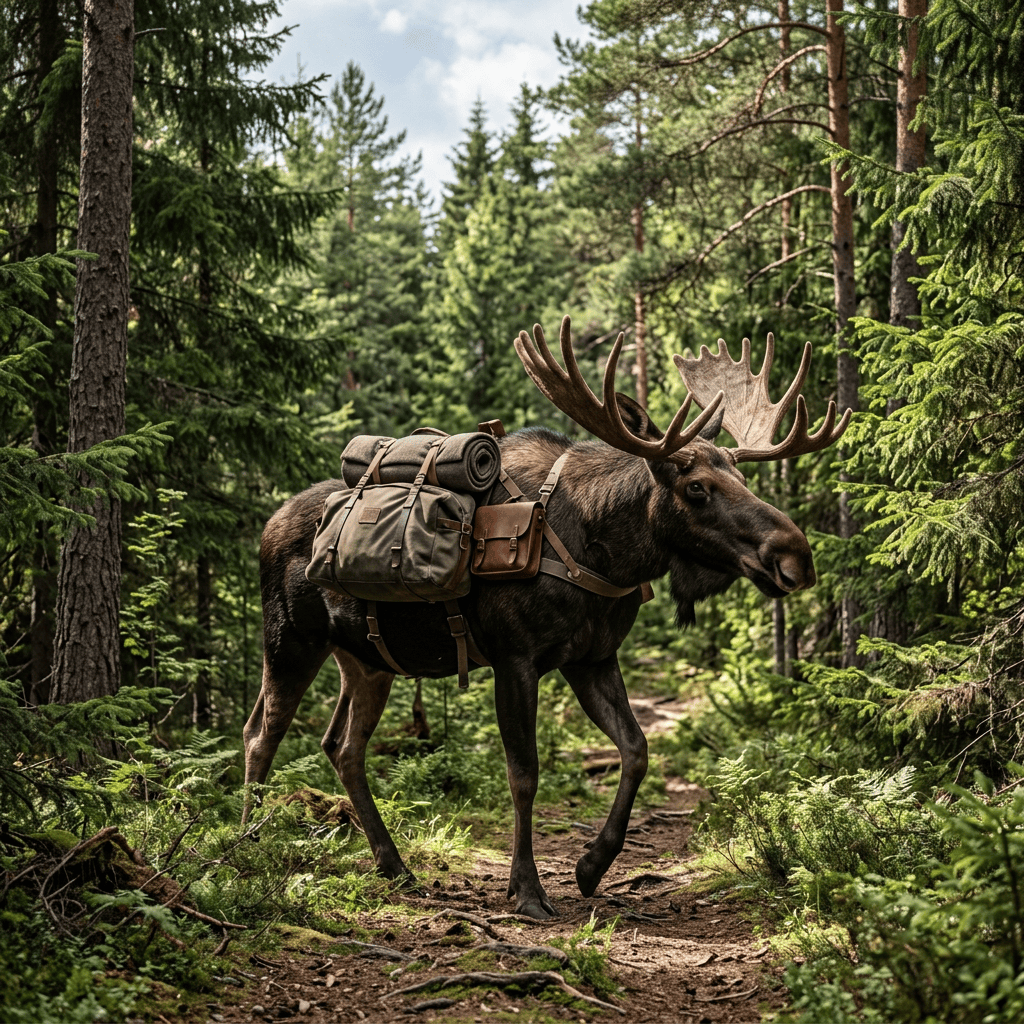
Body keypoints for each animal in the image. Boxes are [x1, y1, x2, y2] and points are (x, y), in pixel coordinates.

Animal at [242, 315, 850, 920]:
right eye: (696, 487)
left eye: (743, 481)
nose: (796, 556)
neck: (608, 554)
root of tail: (267, 525)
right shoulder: (515, 658)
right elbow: (525, 775)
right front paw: (527, 889)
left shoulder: (592, 658)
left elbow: (636, 750)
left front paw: (591, 866)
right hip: (289, 640)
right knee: (260, 735)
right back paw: (247, 847)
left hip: (367, 660)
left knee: (342, 747)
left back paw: (392, 864)